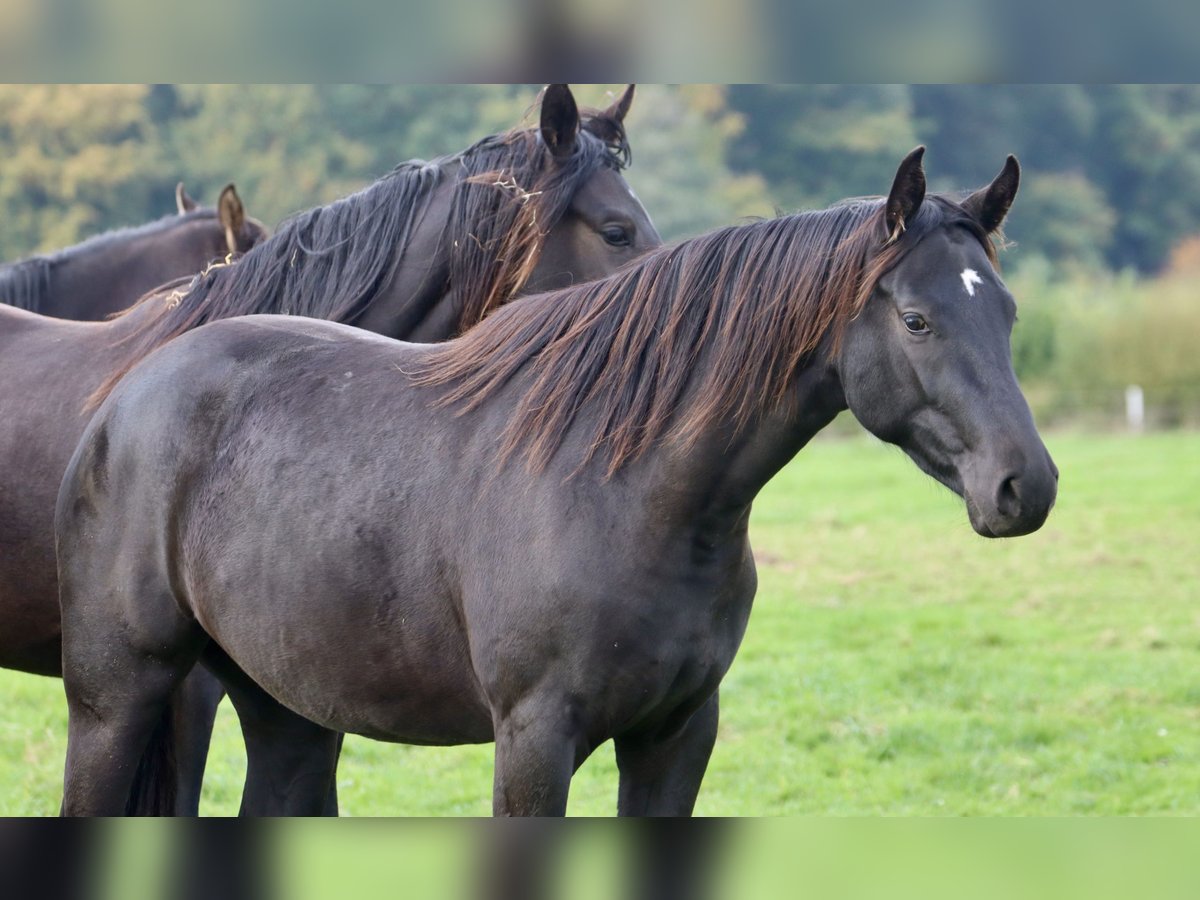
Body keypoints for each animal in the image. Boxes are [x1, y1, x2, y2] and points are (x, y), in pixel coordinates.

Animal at [56, 146, 1056, 816]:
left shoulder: (676, 738)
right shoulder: (536, 741)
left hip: (285, 711)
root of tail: (127, 390)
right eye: (918, 319)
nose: (1027, 486)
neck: (632, 495)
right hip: (117, 702)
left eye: (1006, 311)